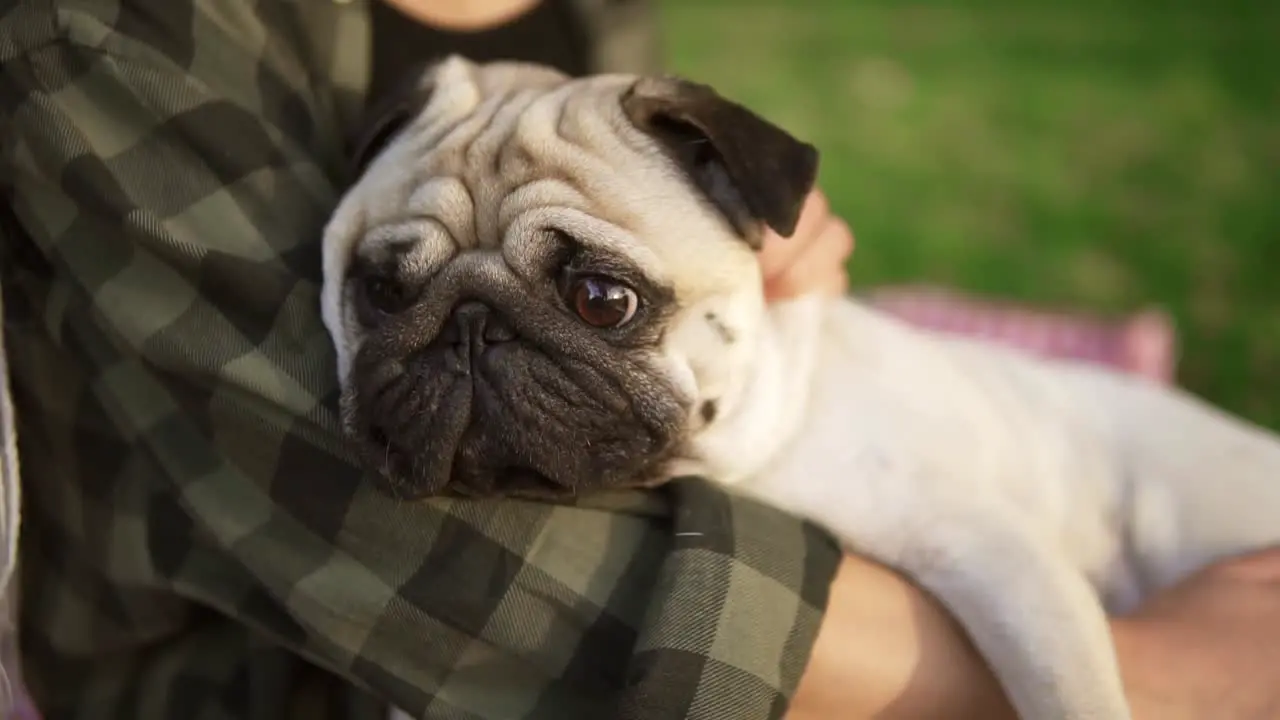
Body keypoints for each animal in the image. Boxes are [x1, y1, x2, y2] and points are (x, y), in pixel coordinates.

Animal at [320, 56, 1280, 717]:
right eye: (384, 292)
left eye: (601, 299)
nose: (470, 329)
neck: (763, 455)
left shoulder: (1000, 559)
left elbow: (1067, 691)